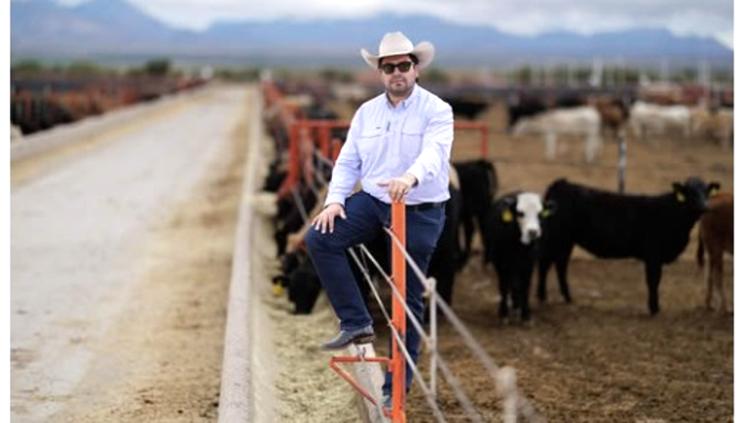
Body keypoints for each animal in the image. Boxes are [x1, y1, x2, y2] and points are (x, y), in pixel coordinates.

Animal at [481, 192, 554, 322]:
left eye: (540, 214)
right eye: (520, 213)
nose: (533, 232)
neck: (519, 247)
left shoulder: (528, 264)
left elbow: (525, 286)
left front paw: (526, 314)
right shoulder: (500, 263)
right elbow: (503, 286)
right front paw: (503, 313)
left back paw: (517, 305)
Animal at [537, 177, 718, 315]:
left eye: (706, 191)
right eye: (690, 192)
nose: (704, 206)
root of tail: (562, 183)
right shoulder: (653, 255)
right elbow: (653, 281)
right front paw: (654, 309)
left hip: (566, 241)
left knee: (560, 265)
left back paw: (566, 297)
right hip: (556, 237)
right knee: (545, 263)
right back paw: (542, 296)